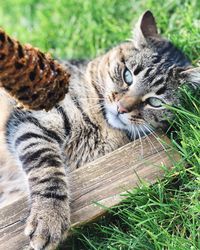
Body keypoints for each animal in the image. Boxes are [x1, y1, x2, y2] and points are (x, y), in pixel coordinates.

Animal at [0, 9, 199, 250]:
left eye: (155, 102)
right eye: (127, 75)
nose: (122, 108)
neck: (102, 124)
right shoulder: (35, 119)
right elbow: (48, 170)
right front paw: (49, 217)